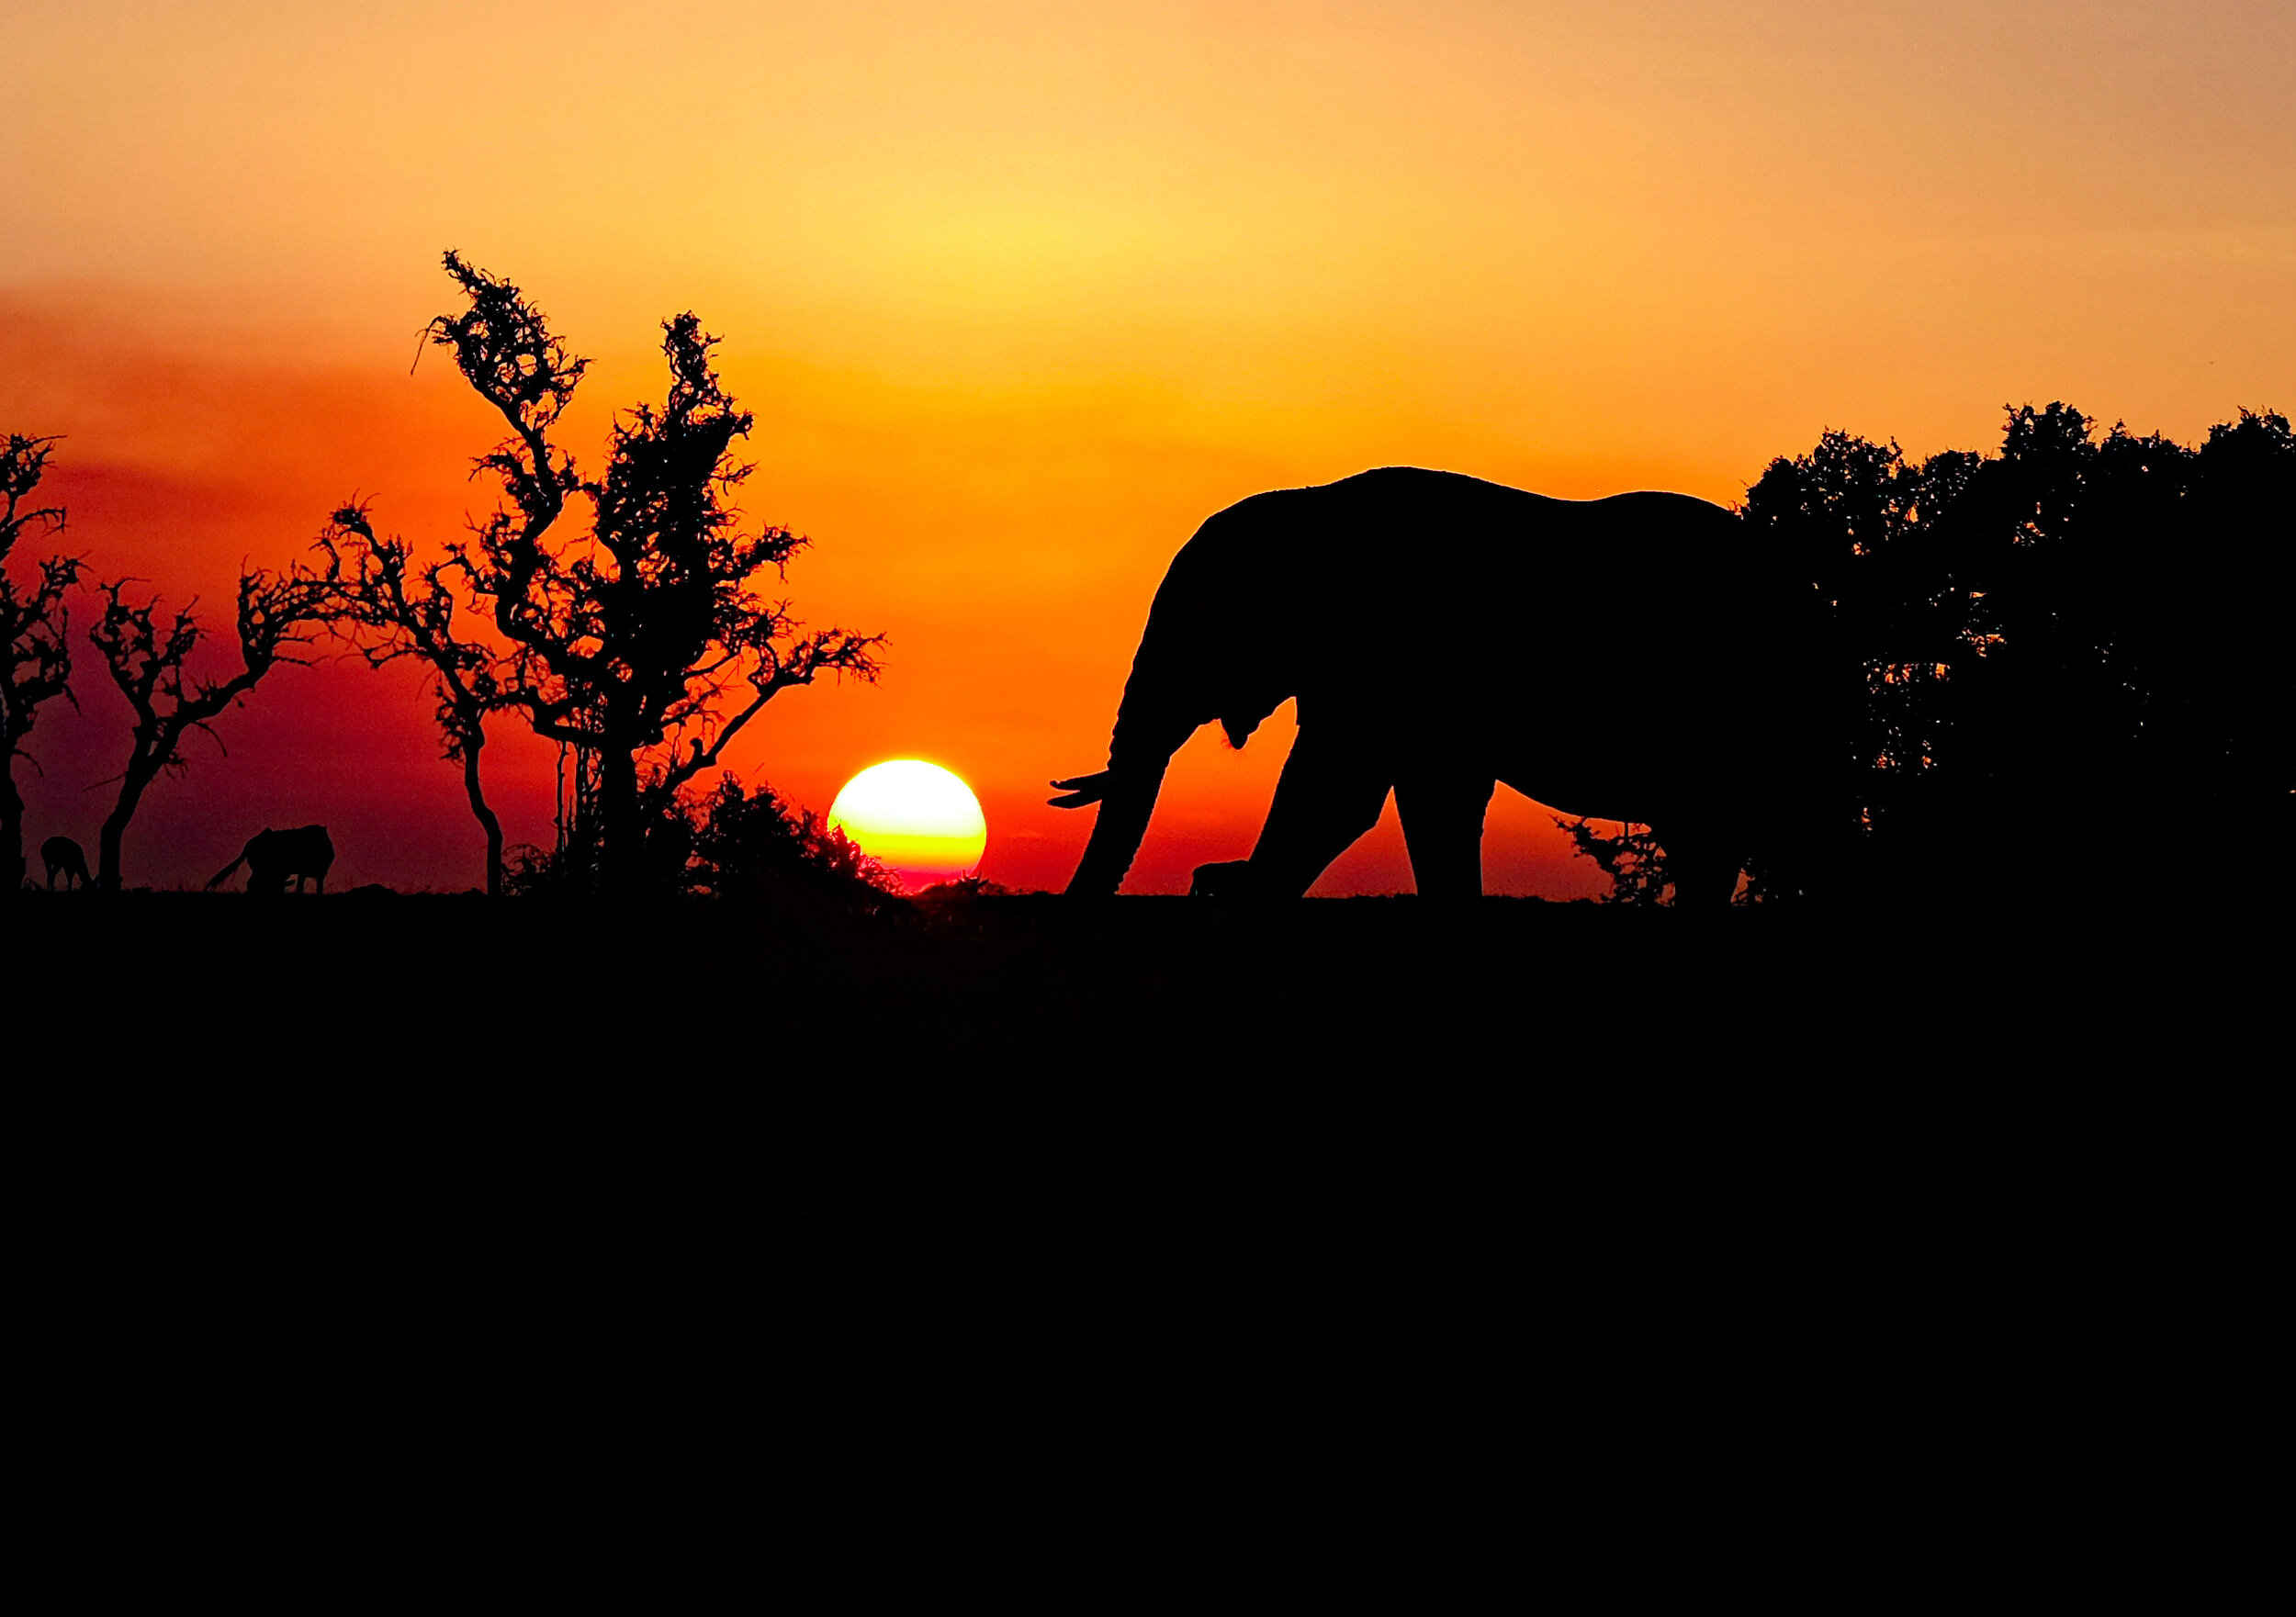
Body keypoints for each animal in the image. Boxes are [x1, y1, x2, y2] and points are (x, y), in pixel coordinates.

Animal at [207, 826, 335, 891]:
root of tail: (248, 846)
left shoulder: (320, 874)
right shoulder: (303, 872)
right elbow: (299, 889)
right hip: (262, 871)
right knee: (253, 884)